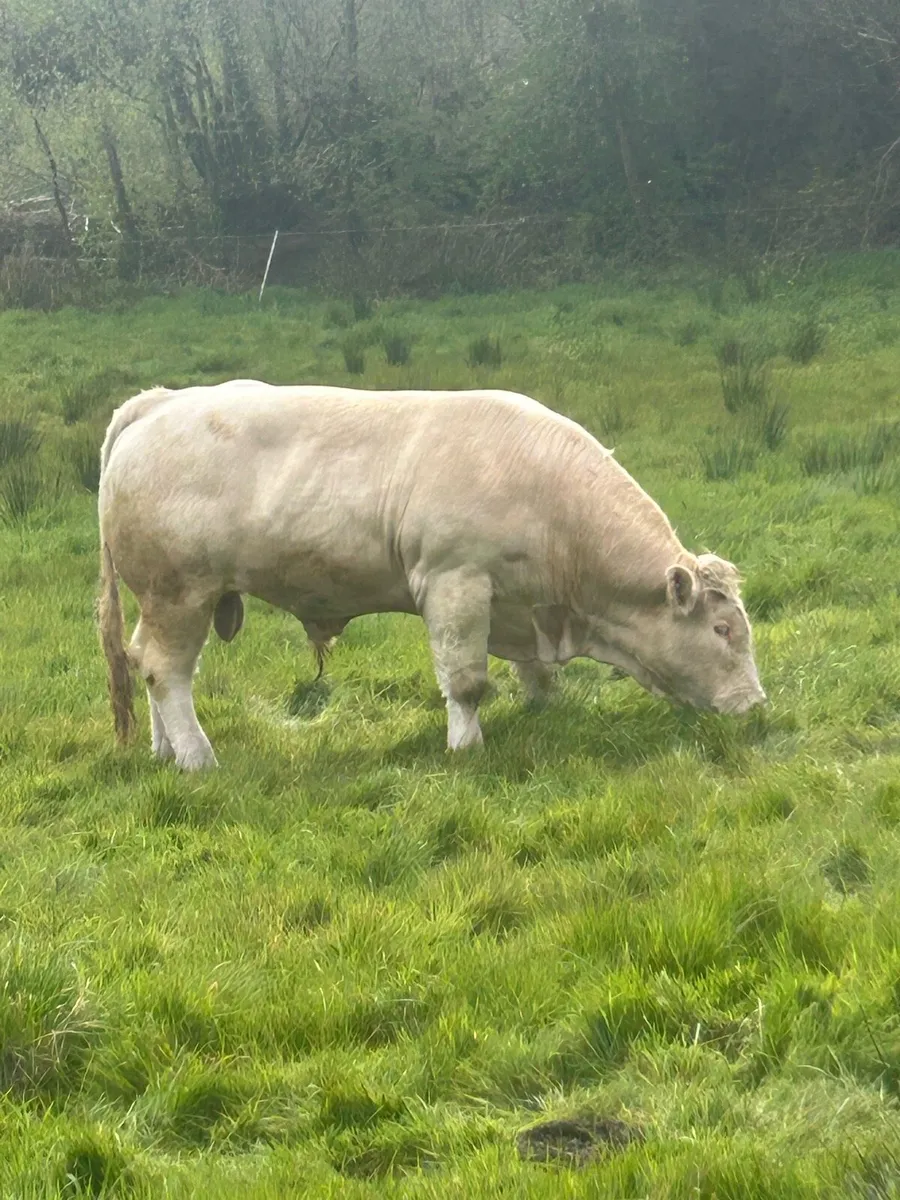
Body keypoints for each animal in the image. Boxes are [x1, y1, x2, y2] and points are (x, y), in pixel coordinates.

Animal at [97, 381, 765, 770]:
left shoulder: (522, 604)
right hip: (180, 590)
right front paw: (467, 746)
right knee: (167, 669)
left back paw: (163, 749)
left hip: (166, 598)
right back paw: (195, 757)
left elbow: (534, 672)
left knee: (145, 662)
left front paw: (543, 709)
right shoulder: (455, 582)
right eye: (723, 631)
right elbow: (466, 679)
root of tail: (160, 400)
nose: (755, 705)